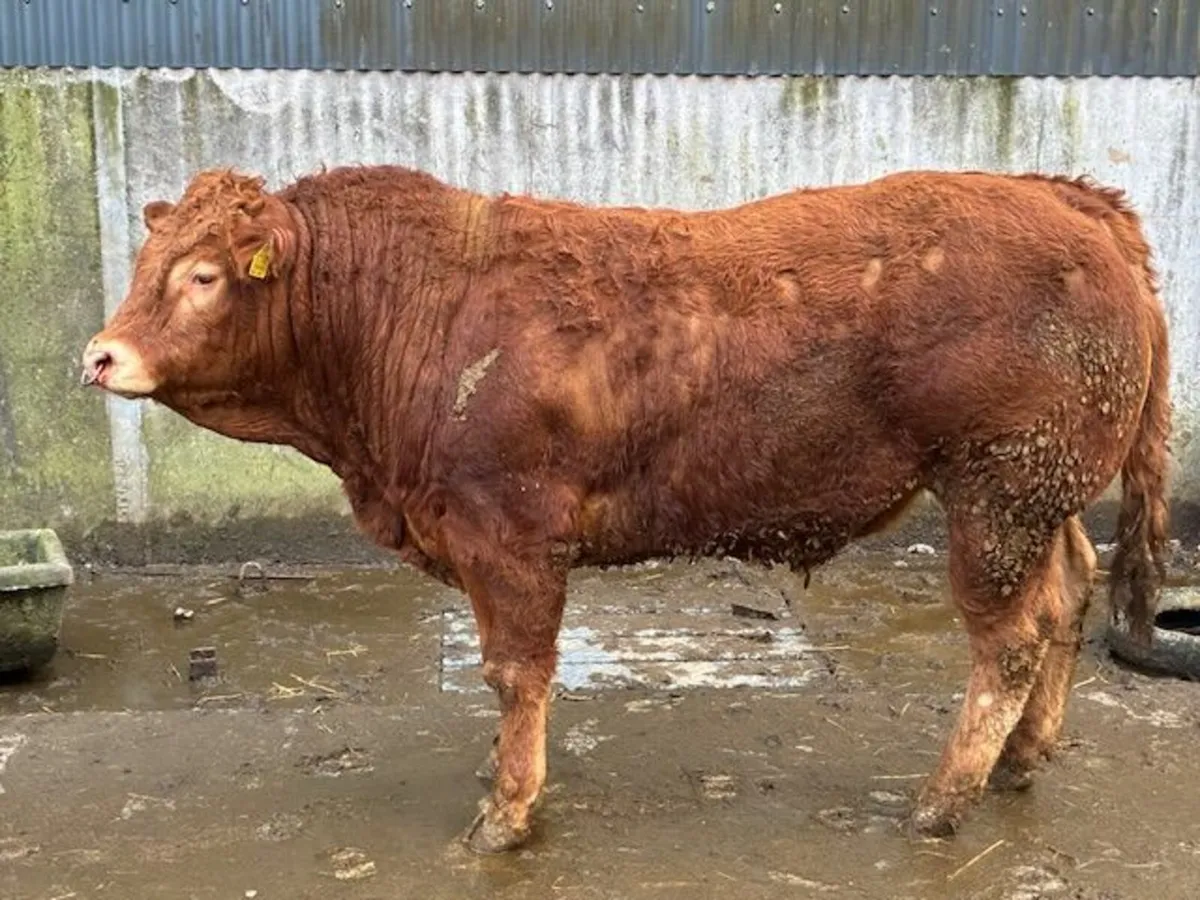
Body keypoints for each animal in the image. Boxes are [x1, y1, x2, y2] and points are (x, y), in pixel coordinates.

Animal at [80, 164, 1170, 853]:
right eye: (143, 264)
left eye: (204, 274)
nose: (98, 355)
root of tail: (1064, 197)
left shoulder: (511, 537)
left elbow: (517, 674)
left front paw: (509, 812)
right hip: (1041, 498)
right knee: (1066, 600)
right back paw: (1022, 760)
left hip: (996, 493)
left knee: (1010, 641)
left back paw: (943, 803)